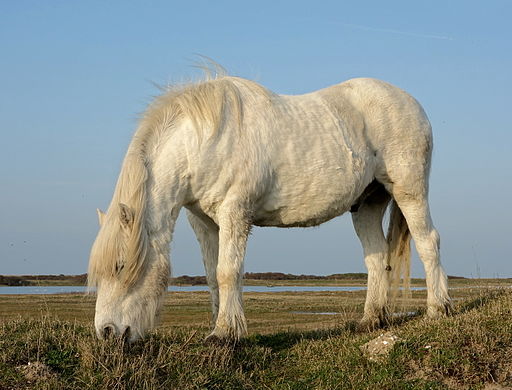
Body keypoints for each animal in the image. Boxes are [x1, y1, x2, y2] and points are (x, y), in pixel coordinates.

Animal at [90, 72, 450, 342]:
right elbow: (212, 276)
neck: (204, 141)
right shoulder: (204, 222)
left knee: (428, 242)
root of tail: (410, 101)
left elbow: (227, 271)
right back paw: (372, 320)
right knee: (377, 258)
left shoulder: (235, 213)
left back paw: (438, 309)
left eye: (120, 265)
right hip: (368, 203)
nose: (106, 332)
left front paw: (225, 334)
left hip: (409, 192)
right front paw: (220, 326)